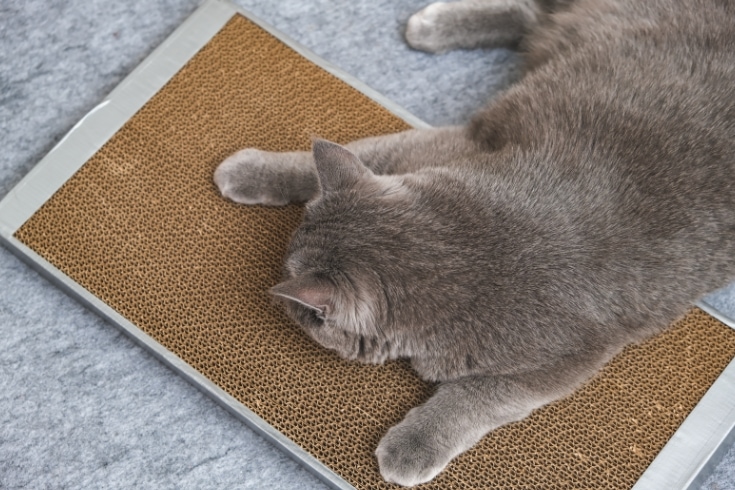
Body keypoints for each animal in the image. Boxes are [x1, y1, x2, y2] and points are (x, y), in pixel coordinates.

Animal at [211, 0, 735, 486]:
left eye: (301, 302)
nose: (281, 277)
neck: (468, 251)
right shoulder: (440, 149)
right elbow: (358, 153)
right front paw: (251, 170)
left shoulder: (567, 360)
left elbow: (481, 396)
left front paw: (413, 446)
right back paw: (431, 26)